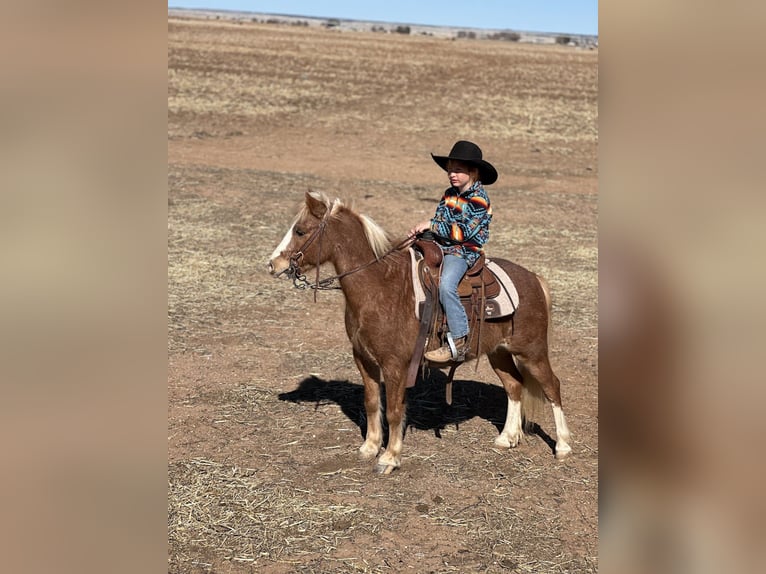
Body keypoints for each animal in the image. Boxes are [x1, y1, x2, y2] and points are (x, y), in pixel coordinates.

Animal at [269, 190, 572, 474]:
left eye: (300, 231)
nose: (273, 264)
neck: (380, 287)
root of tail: (534, 278)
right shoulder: (363, 359)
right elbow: (371, 402)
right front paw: (369, 447)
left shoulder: (395, 365)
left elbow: (394, 411)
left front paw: (389, 458)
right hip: (499, 352)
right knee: (514, 385)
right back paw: (507, 438)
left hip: (532, 351)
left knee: (552, 386)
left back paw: (563, 446)